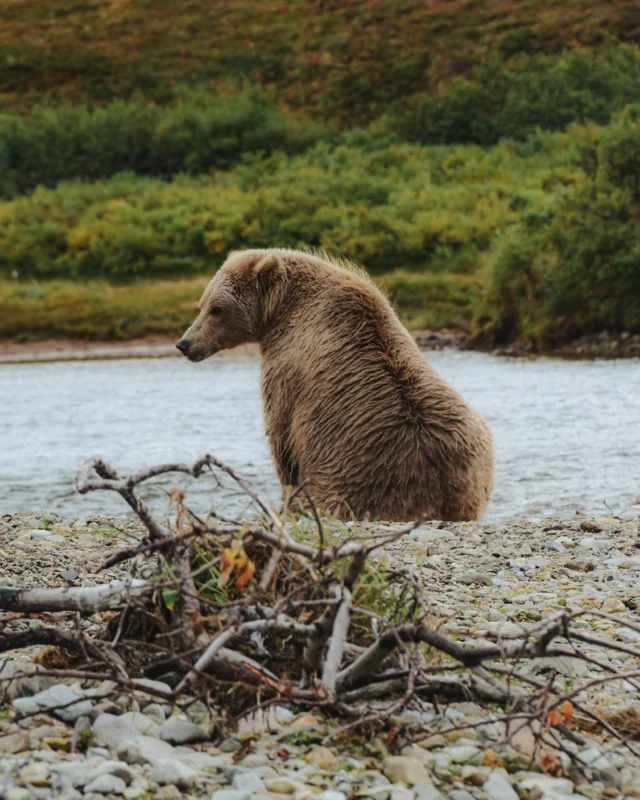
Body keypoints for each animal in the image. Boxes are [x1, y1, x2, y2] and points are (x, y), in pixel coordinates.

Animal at [178, 252, 498, 524]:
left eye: (217, 309)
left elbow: (281, 436)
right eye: (202, 304)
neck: (282, 311)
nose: (184, 343)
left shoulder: (288, 365)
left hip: (352, 479)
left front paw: (284, 499)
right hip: (475, 446)